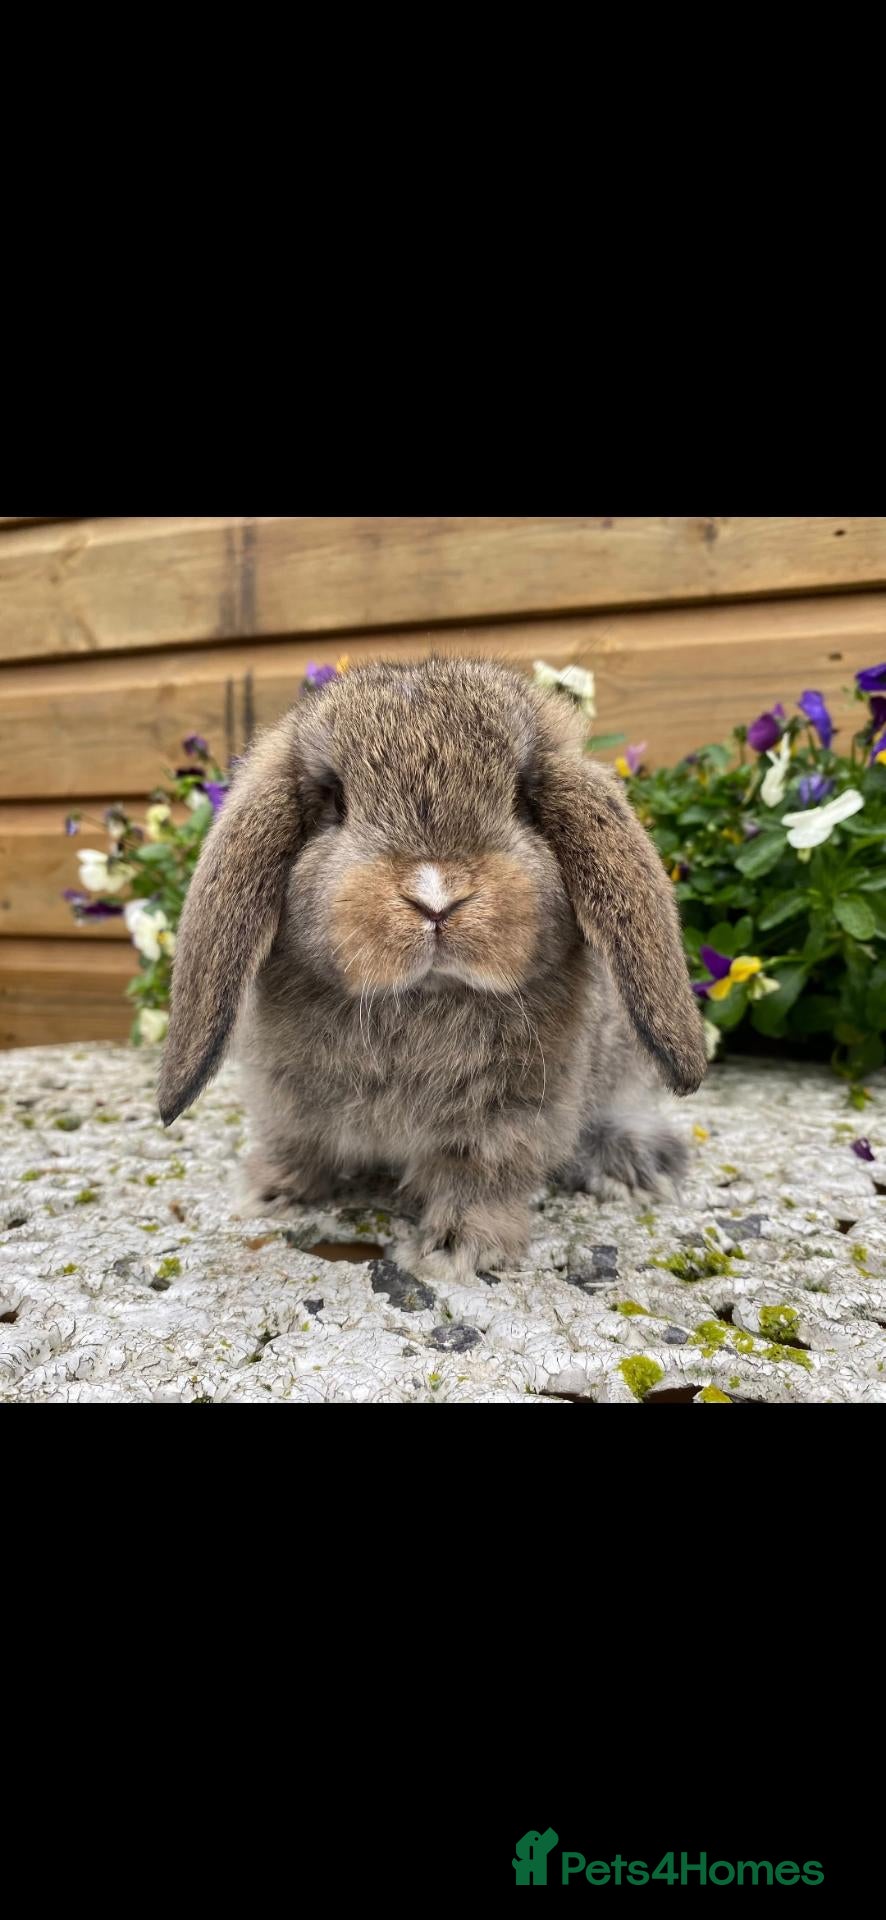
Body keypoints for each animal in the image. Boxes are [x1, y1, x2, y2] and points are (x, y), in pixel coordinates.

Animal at [158, 656, 707, 1274]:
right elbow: (298, 1144)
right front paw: (268, 1192)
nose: (436, 897)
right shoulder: (284, 1097)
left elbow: (479, 1178)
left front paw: (461, 1248)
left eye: (523, 798)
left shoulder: (506, 1120)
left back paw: (635, 1165)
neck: (422, 995)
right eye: (334, 801)